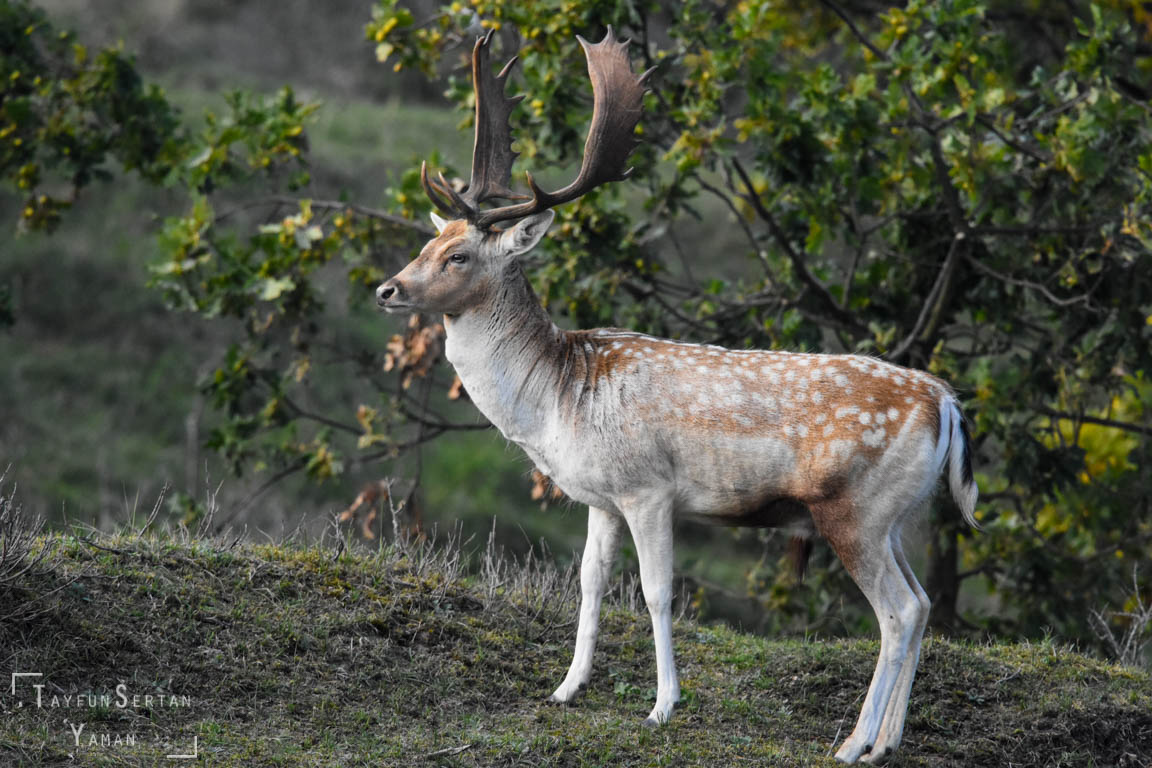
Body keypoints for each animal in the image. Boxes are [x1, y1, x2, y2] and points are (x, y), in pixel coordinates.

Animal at [375, 28, 979, 764]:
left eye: (458, 256)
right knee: (922, 604)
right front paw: (566, 688)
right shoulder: (601, 497)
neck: (557, 398)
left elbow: (658, 592)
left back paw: (852, 743)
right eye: (429, 239)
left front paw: (663, 706)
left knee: (898, 610)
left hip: (853, 508)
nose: (387, 289)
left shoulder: (649, 487)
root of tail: (946, 403)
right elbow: (591, 582)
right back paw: (886, 741)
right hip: (898, 514)